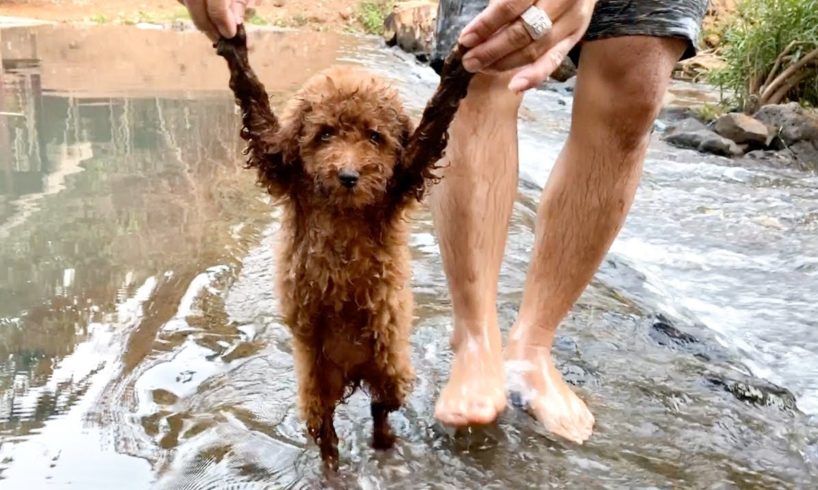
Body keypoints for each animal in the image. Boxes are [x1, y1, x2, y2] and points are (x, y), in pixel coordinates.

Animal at [217, 26, 472, 470]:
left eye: (375, 136)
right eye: (325, 134)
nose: (349, 175)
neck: (343, 207)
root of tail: (353, 373)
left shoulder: (401, 179)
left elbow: (427, 132)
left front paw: (456, 73)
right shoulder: (284, 167)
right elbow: (260, 117)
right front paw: (236, 51)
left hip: (390, 368)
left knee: (381, 407)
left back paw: (383, 441)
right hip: (316, 384)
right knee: (327, 427)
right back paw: (332, 463)